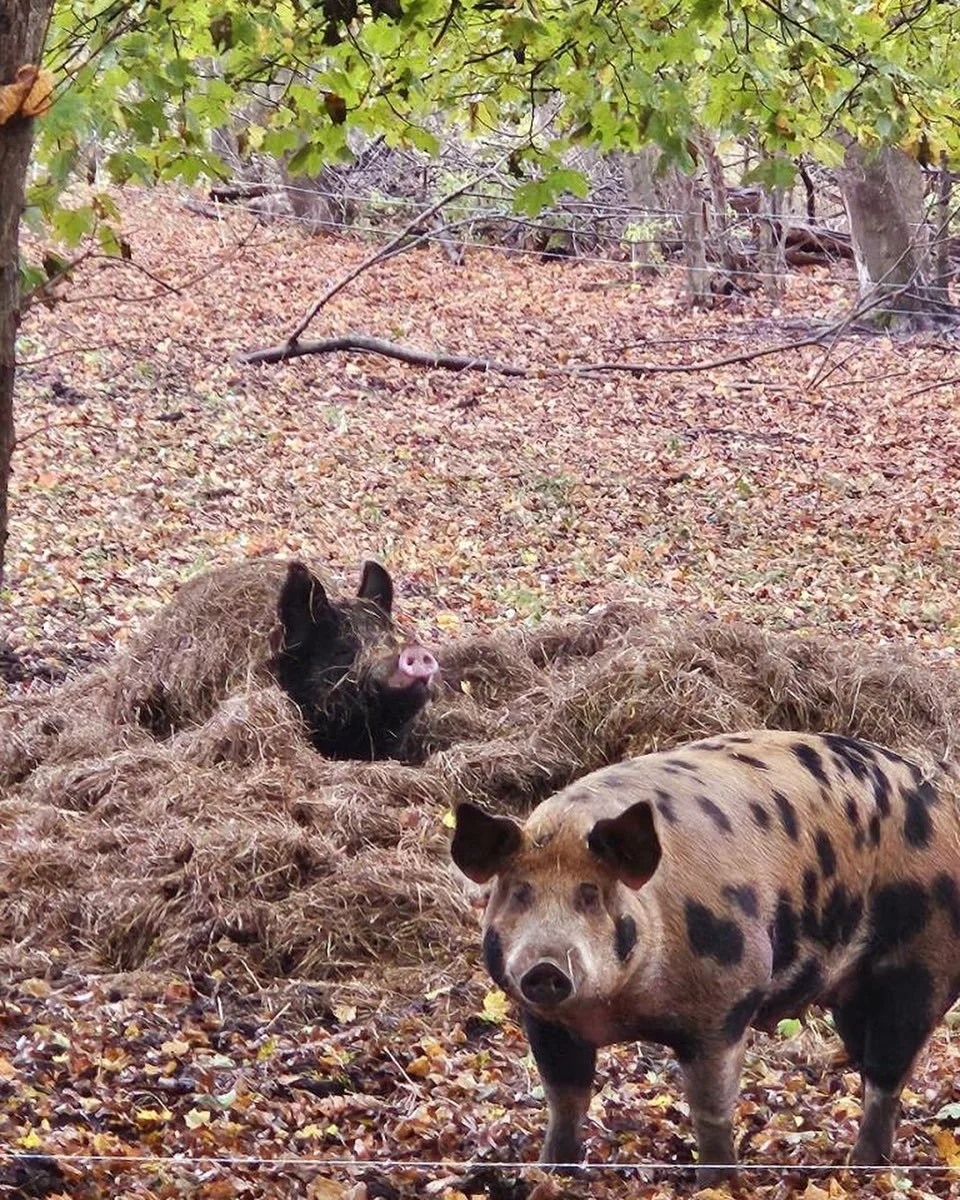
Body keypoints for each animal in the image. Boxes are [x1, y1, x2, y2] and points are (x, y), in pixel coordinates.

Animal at [451, 729, 960, 1183]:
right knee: (874, 1067)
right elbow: (564, 1100)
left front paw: (716, 1183)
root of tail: (944, 798)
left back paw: (861, 1169)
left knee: (888, 1070)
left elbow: (710, 1105)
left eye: (590, 894)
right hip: (852, 995)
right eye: (520, 892)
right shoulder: (543, 1019)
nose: (546, 966)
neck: (620, 1009)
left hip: (921, 962)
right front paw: (551, 1173)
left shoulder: (728, 999)